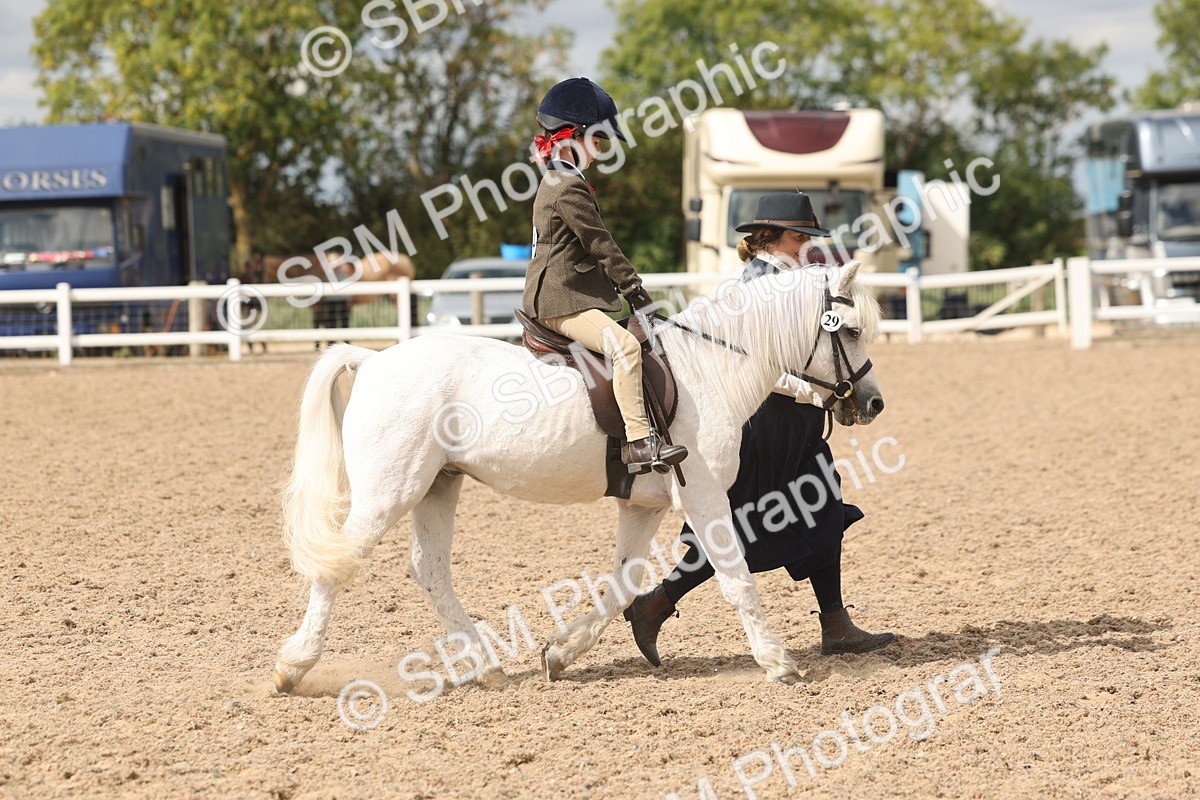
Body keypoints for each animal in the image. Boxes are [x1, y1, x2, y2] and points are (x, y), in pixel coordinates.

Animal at [272, 261, 884, 693]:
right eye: (851, 331)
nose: (872, 402)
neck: (710, 367)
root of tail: (374, 360)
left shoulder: (643, 504)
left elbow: (622, 583)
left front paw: (561, 653)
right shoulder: (706, 497)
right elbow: (736, 577)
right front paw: (779, 661)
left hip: (438, 486)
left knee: (430, 568)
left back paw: (488, 667)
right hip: (389, 492)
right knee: (339, 565)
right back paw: (291, 668)